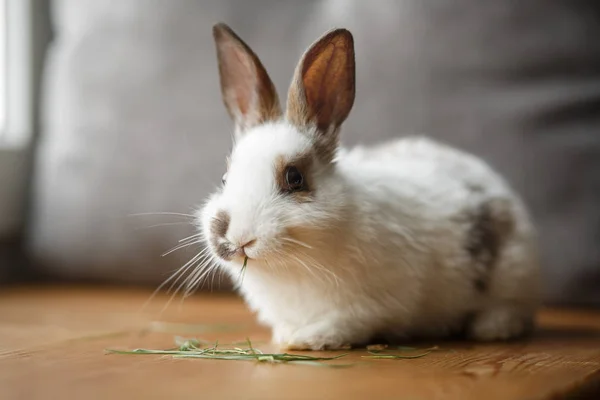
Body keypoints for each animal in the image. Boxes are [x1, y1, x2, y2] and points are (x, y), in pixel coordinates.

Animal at [196, 23, 540, 350]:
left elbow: (349, 324)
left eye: (295, 178)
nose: (239, 238)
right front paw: (285, 335)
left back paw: (490, 329)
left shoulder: (376, 305)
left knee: (514, 310)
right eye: (225, 178)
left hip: (512, 274)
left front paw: (308, 339)